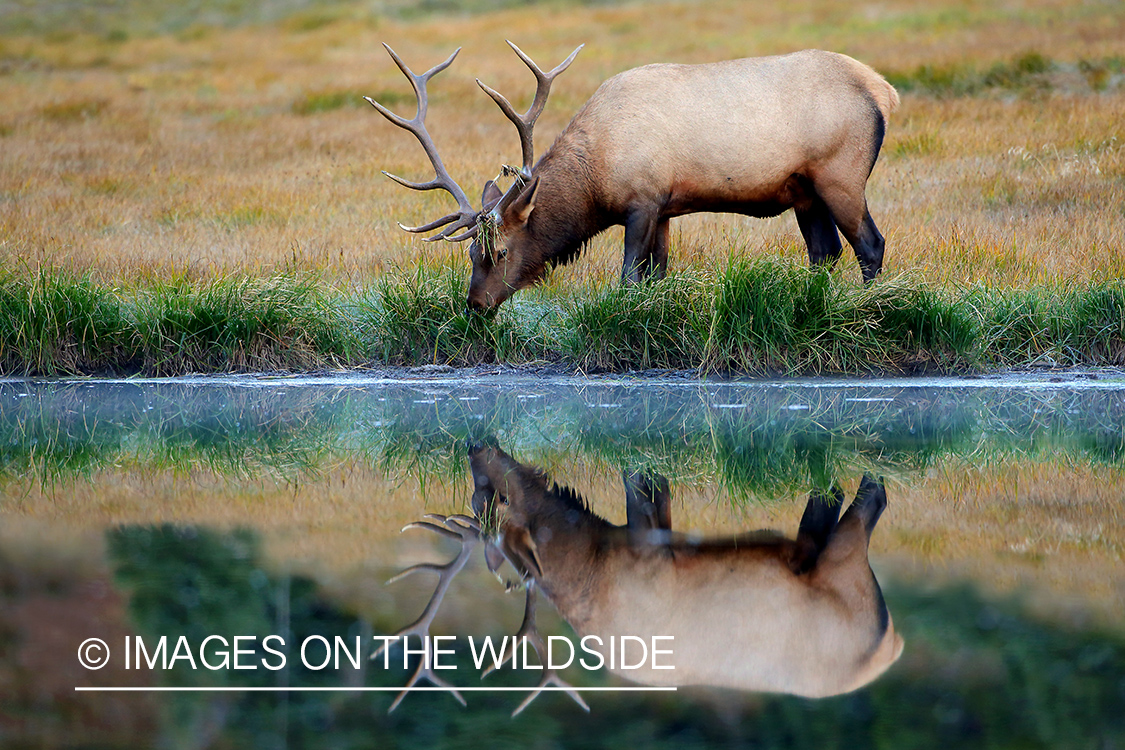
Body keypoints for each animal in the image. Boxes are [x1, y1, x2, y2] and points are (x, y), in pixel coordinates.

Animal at [366, 42, 895, 312]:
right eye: (471, 252)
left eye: (498, 252)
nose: (474, 305)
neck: (596, 179)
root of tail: (884, 92)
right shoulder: (665, 207)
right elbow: (658, 275)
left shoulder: (641, 201)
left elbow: (628, 278)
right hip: (804, 190)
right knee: (824, 252)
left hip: (841, 174)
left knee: (870, 244)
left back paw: (872, 306)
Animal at [378, 443, 904, 715]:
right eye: (478, 496)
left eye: (500, 499)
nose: (475, 446)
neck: (592, 558)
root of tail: (891, 643)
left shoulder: (649, 548)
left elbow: (641, 482)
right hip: (819, 553)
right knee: (828, 503)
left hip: (843, 565)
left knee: (871, 500)